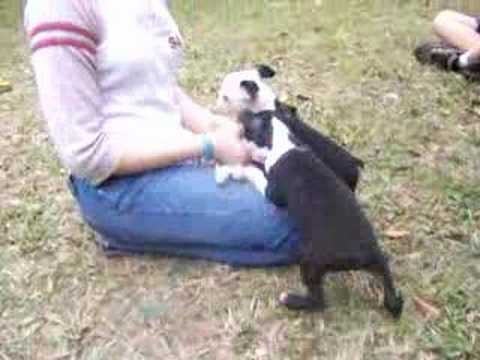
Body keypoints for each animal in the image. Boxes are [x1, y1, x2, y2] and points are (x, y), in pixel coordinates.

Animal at [242, 111, 404, 320]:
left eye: (252, 120)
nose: (242, 114)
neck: (283, 140)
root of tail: (368, 252)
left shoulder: (272, 193)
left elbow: (258, 175)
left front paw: (246, 167)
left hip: (310, 262)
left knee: (318, 300)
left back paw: (290, 300)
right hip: (378, 263)